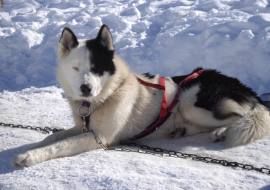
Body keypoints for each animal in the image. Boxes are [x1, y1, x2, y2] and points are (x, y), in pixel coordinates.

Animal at [12, 24, 270, 167]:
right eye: (76, 68)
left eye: (96, 68)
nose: (86, 89)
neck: (107, 94)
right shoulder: (82, 127)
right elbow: (53, 137)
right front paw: (30, 147)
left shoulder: (99, 137)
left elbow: (59, 145)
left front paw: (30, 156)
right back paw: (181, 130)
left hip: (191, 100)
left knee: (243, 115)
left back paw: (222, 131)